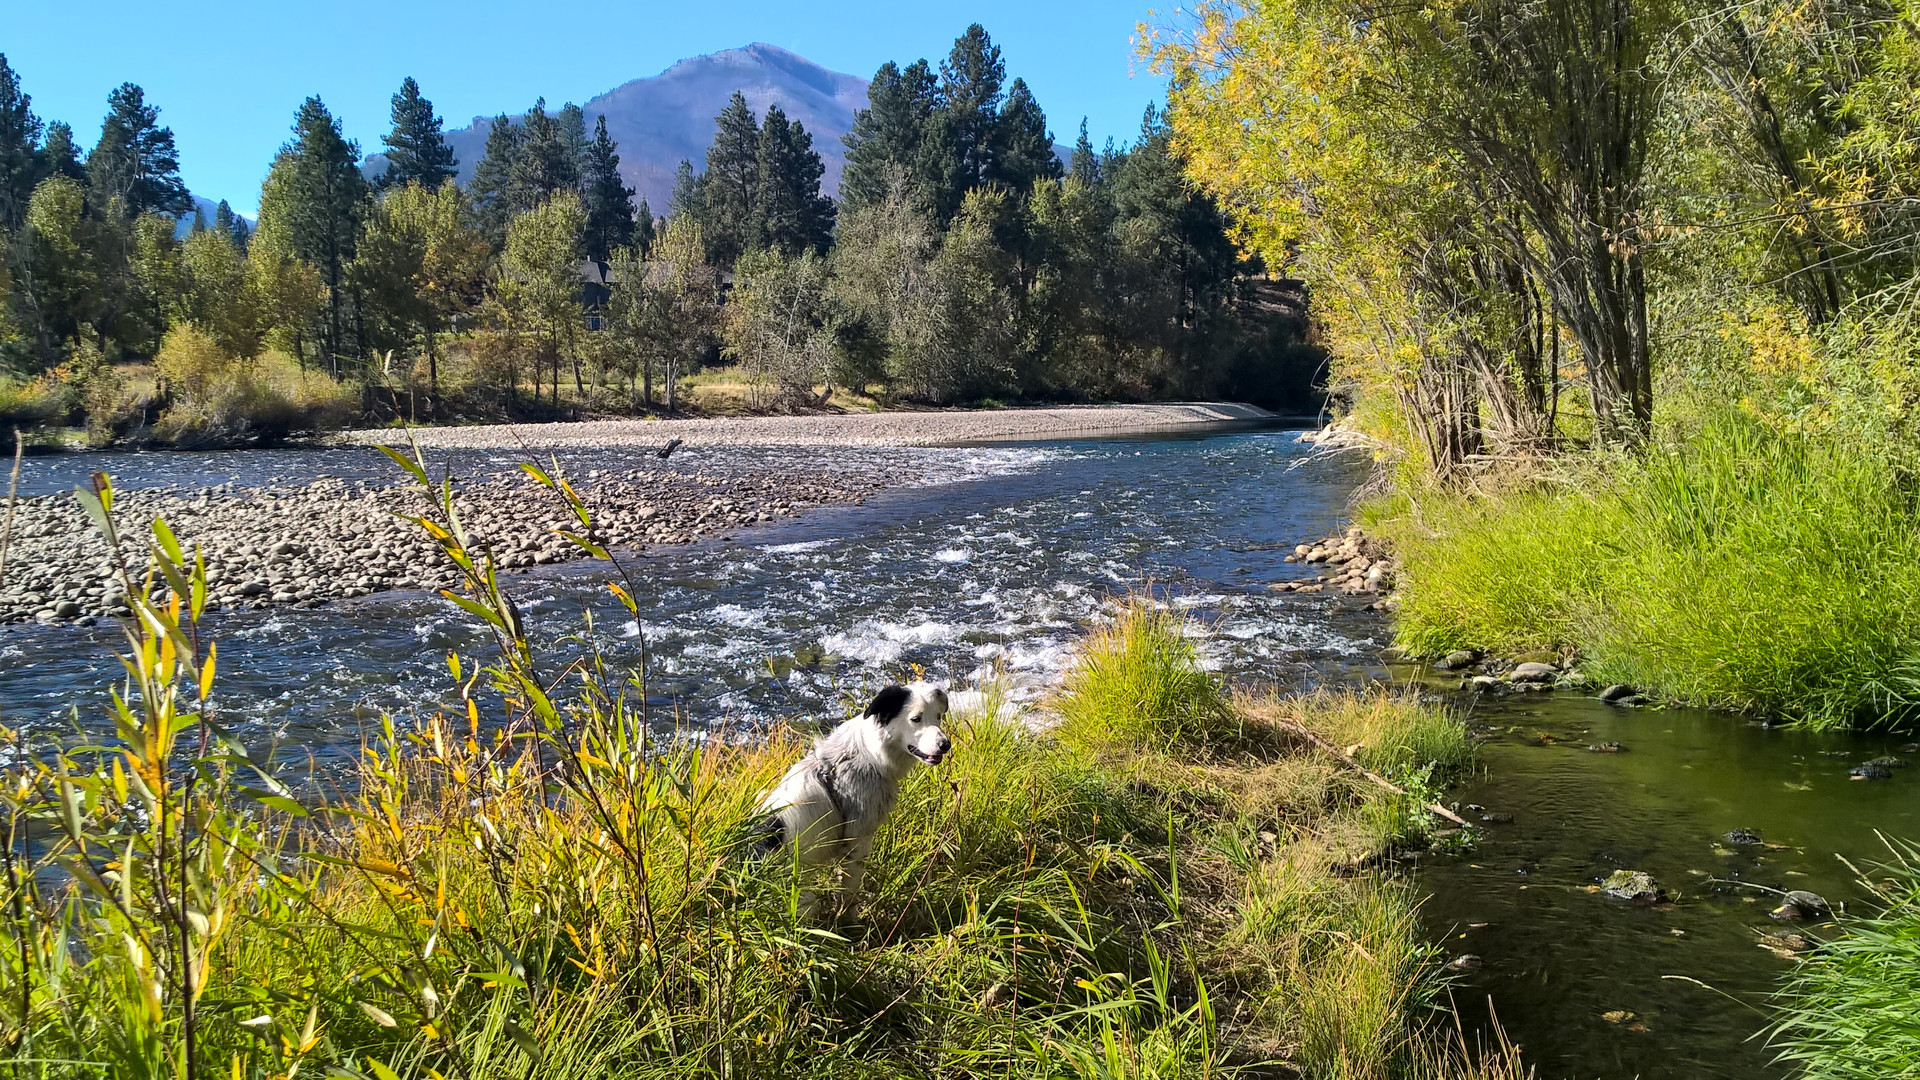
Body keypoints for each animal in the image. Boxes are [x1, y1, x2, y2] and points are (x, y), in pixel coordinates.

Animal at [752, 680, 956, 907]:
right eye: (916, 719)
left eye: (938, 716)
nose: (946, 745)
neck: (867, 755)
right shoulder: (858, 840)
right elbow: (848, 893)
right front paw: (848, 914)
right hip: (806, 898)